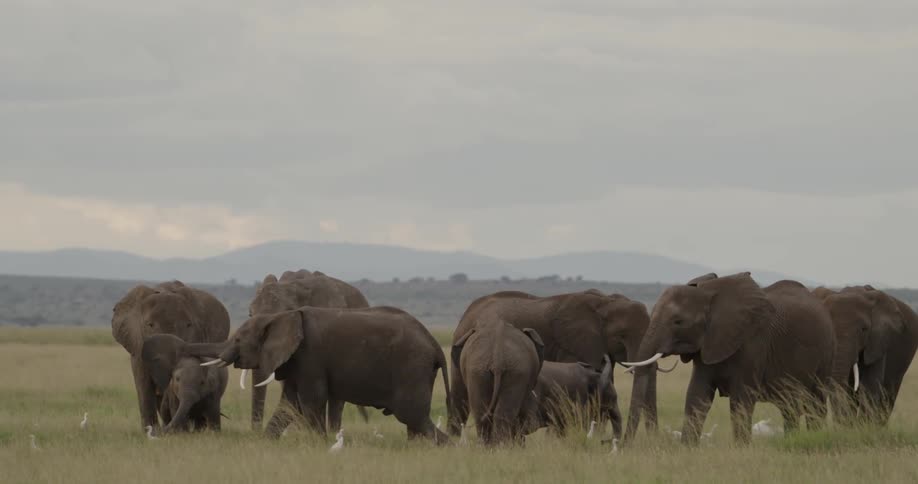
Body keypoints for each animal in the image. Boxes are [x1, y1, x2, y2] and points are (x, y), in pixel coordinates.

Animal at [189, 305, 450, 443]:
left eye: (238, 339)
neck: (282, 315)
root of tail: (436, 345)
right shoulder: (296, 361)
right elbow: (289, 404)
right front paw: (265, 443)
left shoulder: (310, 357)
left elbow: (310, 401)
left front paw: (319, 443)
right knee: (414, 420)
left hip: (412, 367)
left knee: (412, 414)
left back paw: (448, 446)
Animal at [448, 290, 655, 437]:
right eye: (622, 336)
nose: (654, 435)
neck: (606, 303)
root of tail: (467, 313)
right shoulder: (575, 346)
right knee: (461, 401)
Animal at [624, 273, 835, 444]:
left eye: (678, 322)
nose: (625, 447)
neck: (709, 293)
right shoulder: (708, 344)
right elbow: (697, 394)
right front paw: (687, 448)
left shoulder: (753, 343)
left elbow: (741, 399)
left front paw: (742, 449)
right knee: (789, 407)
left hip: (825, 355)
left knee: (815, 404)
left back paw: (814, 437)